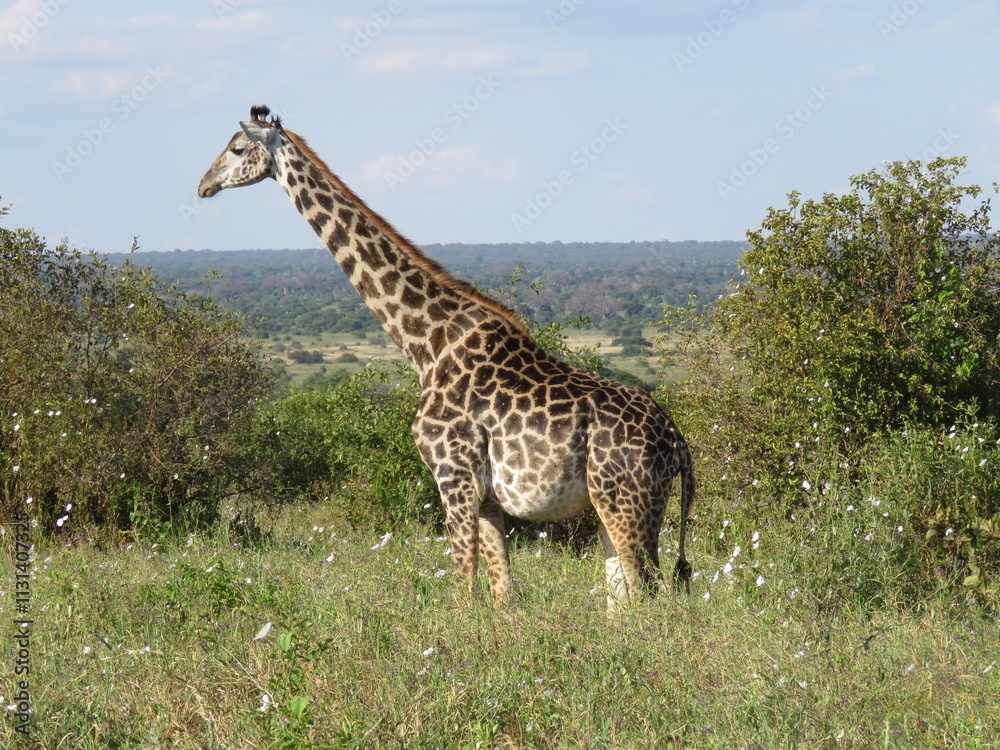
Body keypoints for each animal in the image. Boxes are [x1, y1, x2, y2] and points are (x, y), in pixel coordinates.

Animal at [198, 105, 695, 611]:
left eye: (236, 148)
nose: (203, 185)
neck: (426, 344)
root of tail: (677, 441)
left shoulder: (452, 475)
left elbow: (461, 586)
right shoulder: (487, 494)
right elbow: (501, 591)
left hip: (628, 504)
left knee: (652, 597)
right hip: (609, 506)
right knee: (623, 602)